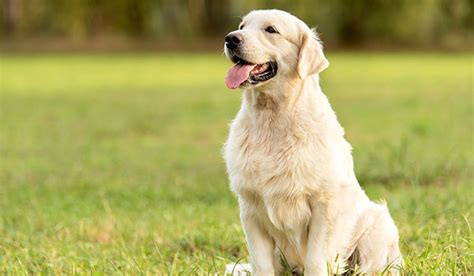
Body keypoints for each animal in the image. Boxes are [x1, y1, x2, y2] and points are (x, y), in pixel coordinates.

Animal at [224, 9, 402, 274]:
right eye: (242, 26)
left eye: (271, 30)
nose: (230, 39)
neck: (273, 119)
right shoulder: (251, 208)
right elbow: (262, 263)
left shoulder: (325, 205)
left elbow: (316, 260)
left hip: (377, 224)